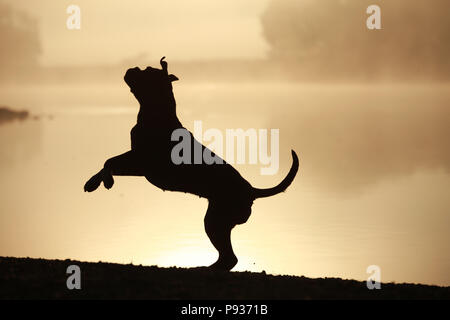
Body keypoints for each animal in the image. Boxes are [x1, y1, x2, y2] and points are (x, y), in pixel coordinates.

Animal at [84, 57, 298, 270]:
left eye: (147, 71)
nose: (133, 67)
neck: (156, 111)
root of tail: (252, 190)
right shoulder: (137, 163)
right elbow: (108, 162)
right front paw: (92, 183)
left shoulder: (141, 161)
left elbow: (109, 162)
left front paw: (107, 181)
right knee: (227, 257)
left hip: (215, 221)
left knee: (229, 257)